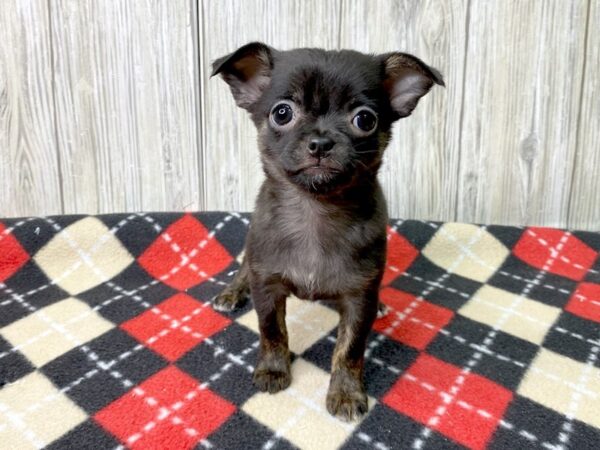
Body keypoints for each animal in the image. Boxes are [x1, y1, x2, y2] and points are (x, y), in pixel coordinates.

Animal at [211, 44, 440, 420]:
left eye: (365, 120)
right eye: (282, 113)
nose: (320, 141)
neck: (315, 209)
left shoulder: (360, 297)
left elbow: (350, 349)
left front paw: (345, 393)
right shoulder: (267, 285)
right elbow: (272, 330)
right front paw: (273, 370)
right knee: (244, 267)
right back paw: (231, 292)